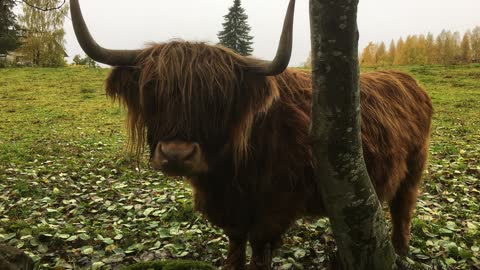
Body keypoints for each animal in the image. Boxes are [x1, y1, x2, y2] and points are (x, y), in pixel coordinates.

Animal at [70, 1, 432, 268]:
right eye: (152, 92)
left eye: (219, 99)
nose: (176, 154)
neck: (227, 173)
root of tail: (408, 80)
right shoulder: (229, 212)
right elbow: (234, 247)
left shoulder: (274, 212)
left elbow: (258, 252)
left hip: (415, 168)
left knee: (403, 208)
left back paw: (401, 253)